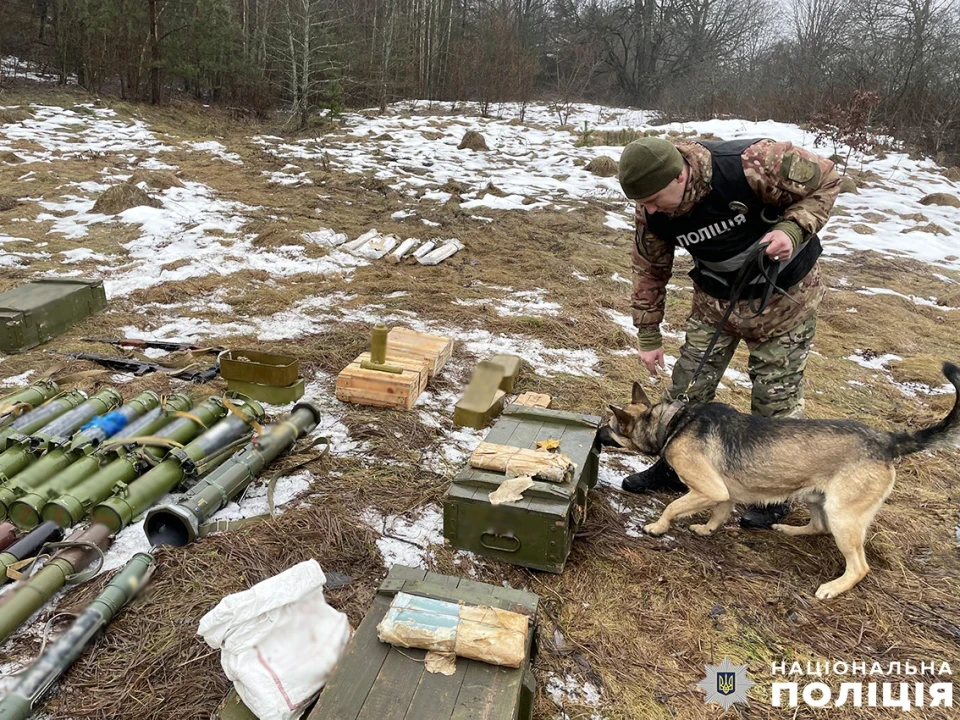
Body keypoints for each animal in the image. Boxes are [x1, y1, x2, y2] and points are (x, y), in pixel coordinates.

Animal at [600, 362, 960, 600]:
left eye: (610, 426)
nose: (597, 430)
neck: (673, 422)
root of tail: (888, 441)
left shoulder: (708, 487)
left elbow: (674, 506)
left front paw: (657, 527)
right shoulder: (724, 491)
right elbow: (719, 511)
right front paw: (707, 529)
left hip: (843, 515)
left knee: (859, 566)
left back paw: (833, 588)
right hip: (819, 499)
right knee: (819, 527)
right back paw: (788, 530)